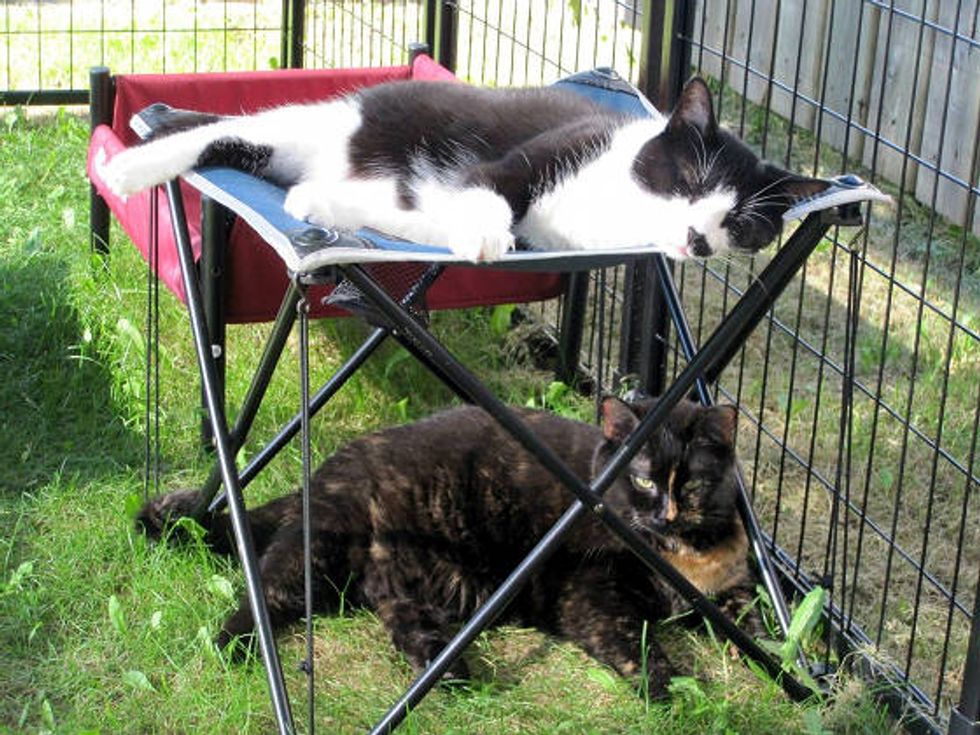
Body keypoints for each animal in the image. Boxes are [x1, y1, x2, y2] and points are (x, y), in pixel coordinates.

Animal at [99, 77, 828, 262]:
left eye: (741, 222)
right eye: (693, 181)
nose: (702, 239)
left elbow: (431, 218)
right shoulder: (540, 153)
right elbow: (491, 191)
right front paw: (482, 238)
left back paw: (314, 196)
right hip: (334, 125)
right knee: (224, 131)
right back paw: (133, 166)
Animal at [138, 400, 756, 692]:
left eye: (693, 483)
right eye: (645, 480)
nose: (663, 513)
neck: (683, 555)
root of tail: (322, 474)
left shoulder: (736, 584)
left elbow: (751, 619)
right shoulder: (589, 592)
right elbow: (633, 639)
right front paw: (671, 685)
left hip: (399, 580)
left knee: (399, 618)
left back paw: (449, 669)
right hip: (318, 549)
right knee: (260, 594)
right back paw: (232, 649)